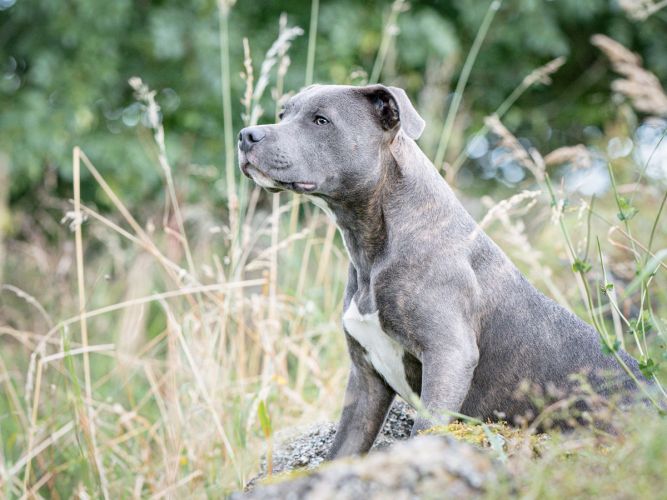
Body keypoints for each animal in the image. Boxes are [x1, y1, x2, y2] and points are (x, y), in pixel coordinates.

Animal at [236, 84, 648, 458]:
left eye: (321, 120)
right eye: (283, 113)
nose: (246, 135)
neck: (372, 248)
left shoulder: (449, 355)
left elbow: (425, 430)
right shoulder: (365, 381)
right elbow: (341, 451)